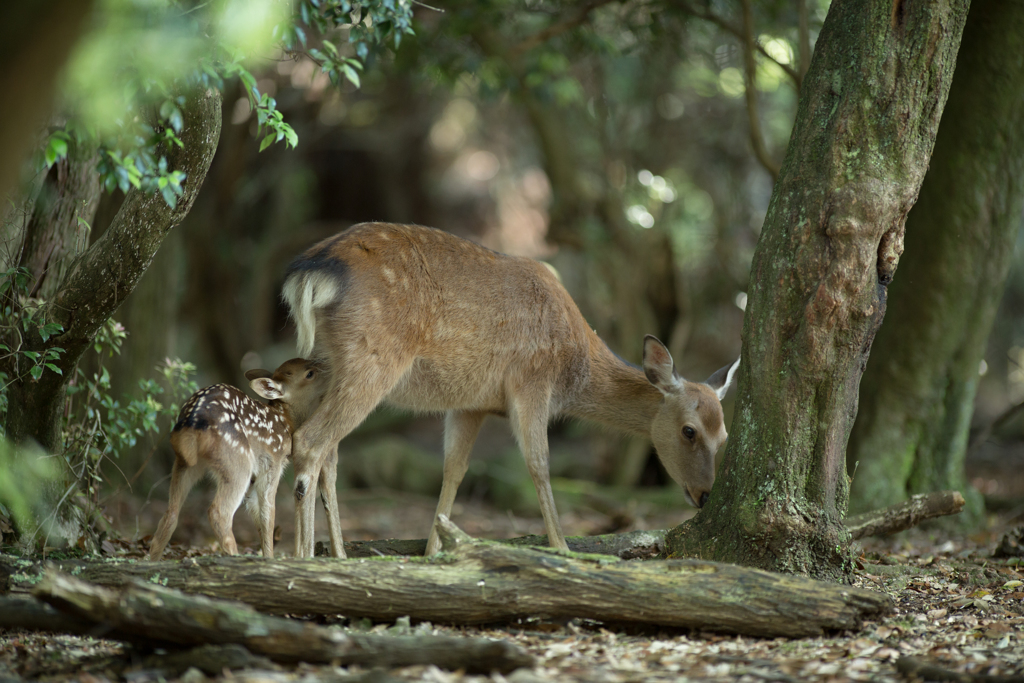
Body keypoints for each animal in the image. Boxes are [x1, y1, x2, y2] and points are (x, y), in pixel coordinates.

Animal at [146, 358, 323, 561]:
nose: (325, 369)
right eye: (309, 373)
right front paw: (269, 560)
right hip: (237, 462)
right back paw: (235, 557)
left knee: (171, 513)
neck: (285, 421)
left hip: (185, 463)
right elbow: (268, 514)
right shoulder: (272, 463)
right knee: (218, 512)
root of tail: (194, 421)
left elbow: (258, 516)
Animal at [284, 222, 741, 557]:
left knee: (330, 455)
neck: (574, 369)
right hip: (372, 358)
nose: (704, 495)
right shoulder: (531, 381)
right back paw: (305, 557)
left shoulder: (471, 403)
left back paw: (339, 553)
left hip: (325, 366)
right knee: (309, 441)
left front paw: (435, 552)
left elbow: (454, 469)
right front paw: (562, 548)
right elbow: (539, 463)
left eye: (724, 436)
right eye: (689, 430)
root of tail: (310, 271)